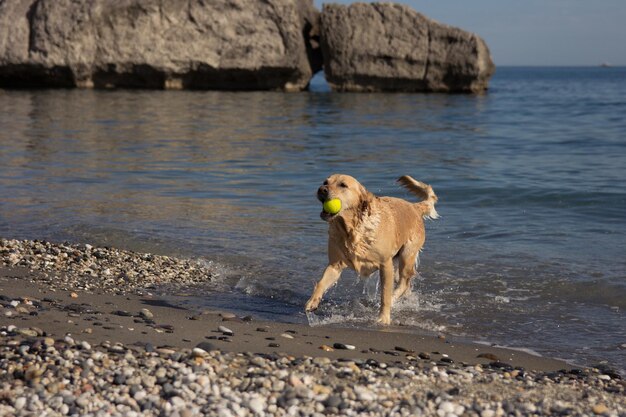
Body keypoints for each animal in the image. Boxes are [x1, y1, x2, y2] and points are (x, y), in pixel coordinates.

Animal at [304, 174, 436, 324]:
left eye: (343, 185)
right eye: (325, 182)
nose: (321, 189)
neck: (351, 230)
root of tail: (414, 206)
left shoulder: (385, 265)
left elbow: (385, 295)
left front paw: (384, 318)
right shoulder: (335, 265)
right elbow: (321, 283)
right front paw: (312, 302)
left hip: (407, 256)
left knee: (403, 283)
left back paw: (394, 298)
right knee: (405, 283)